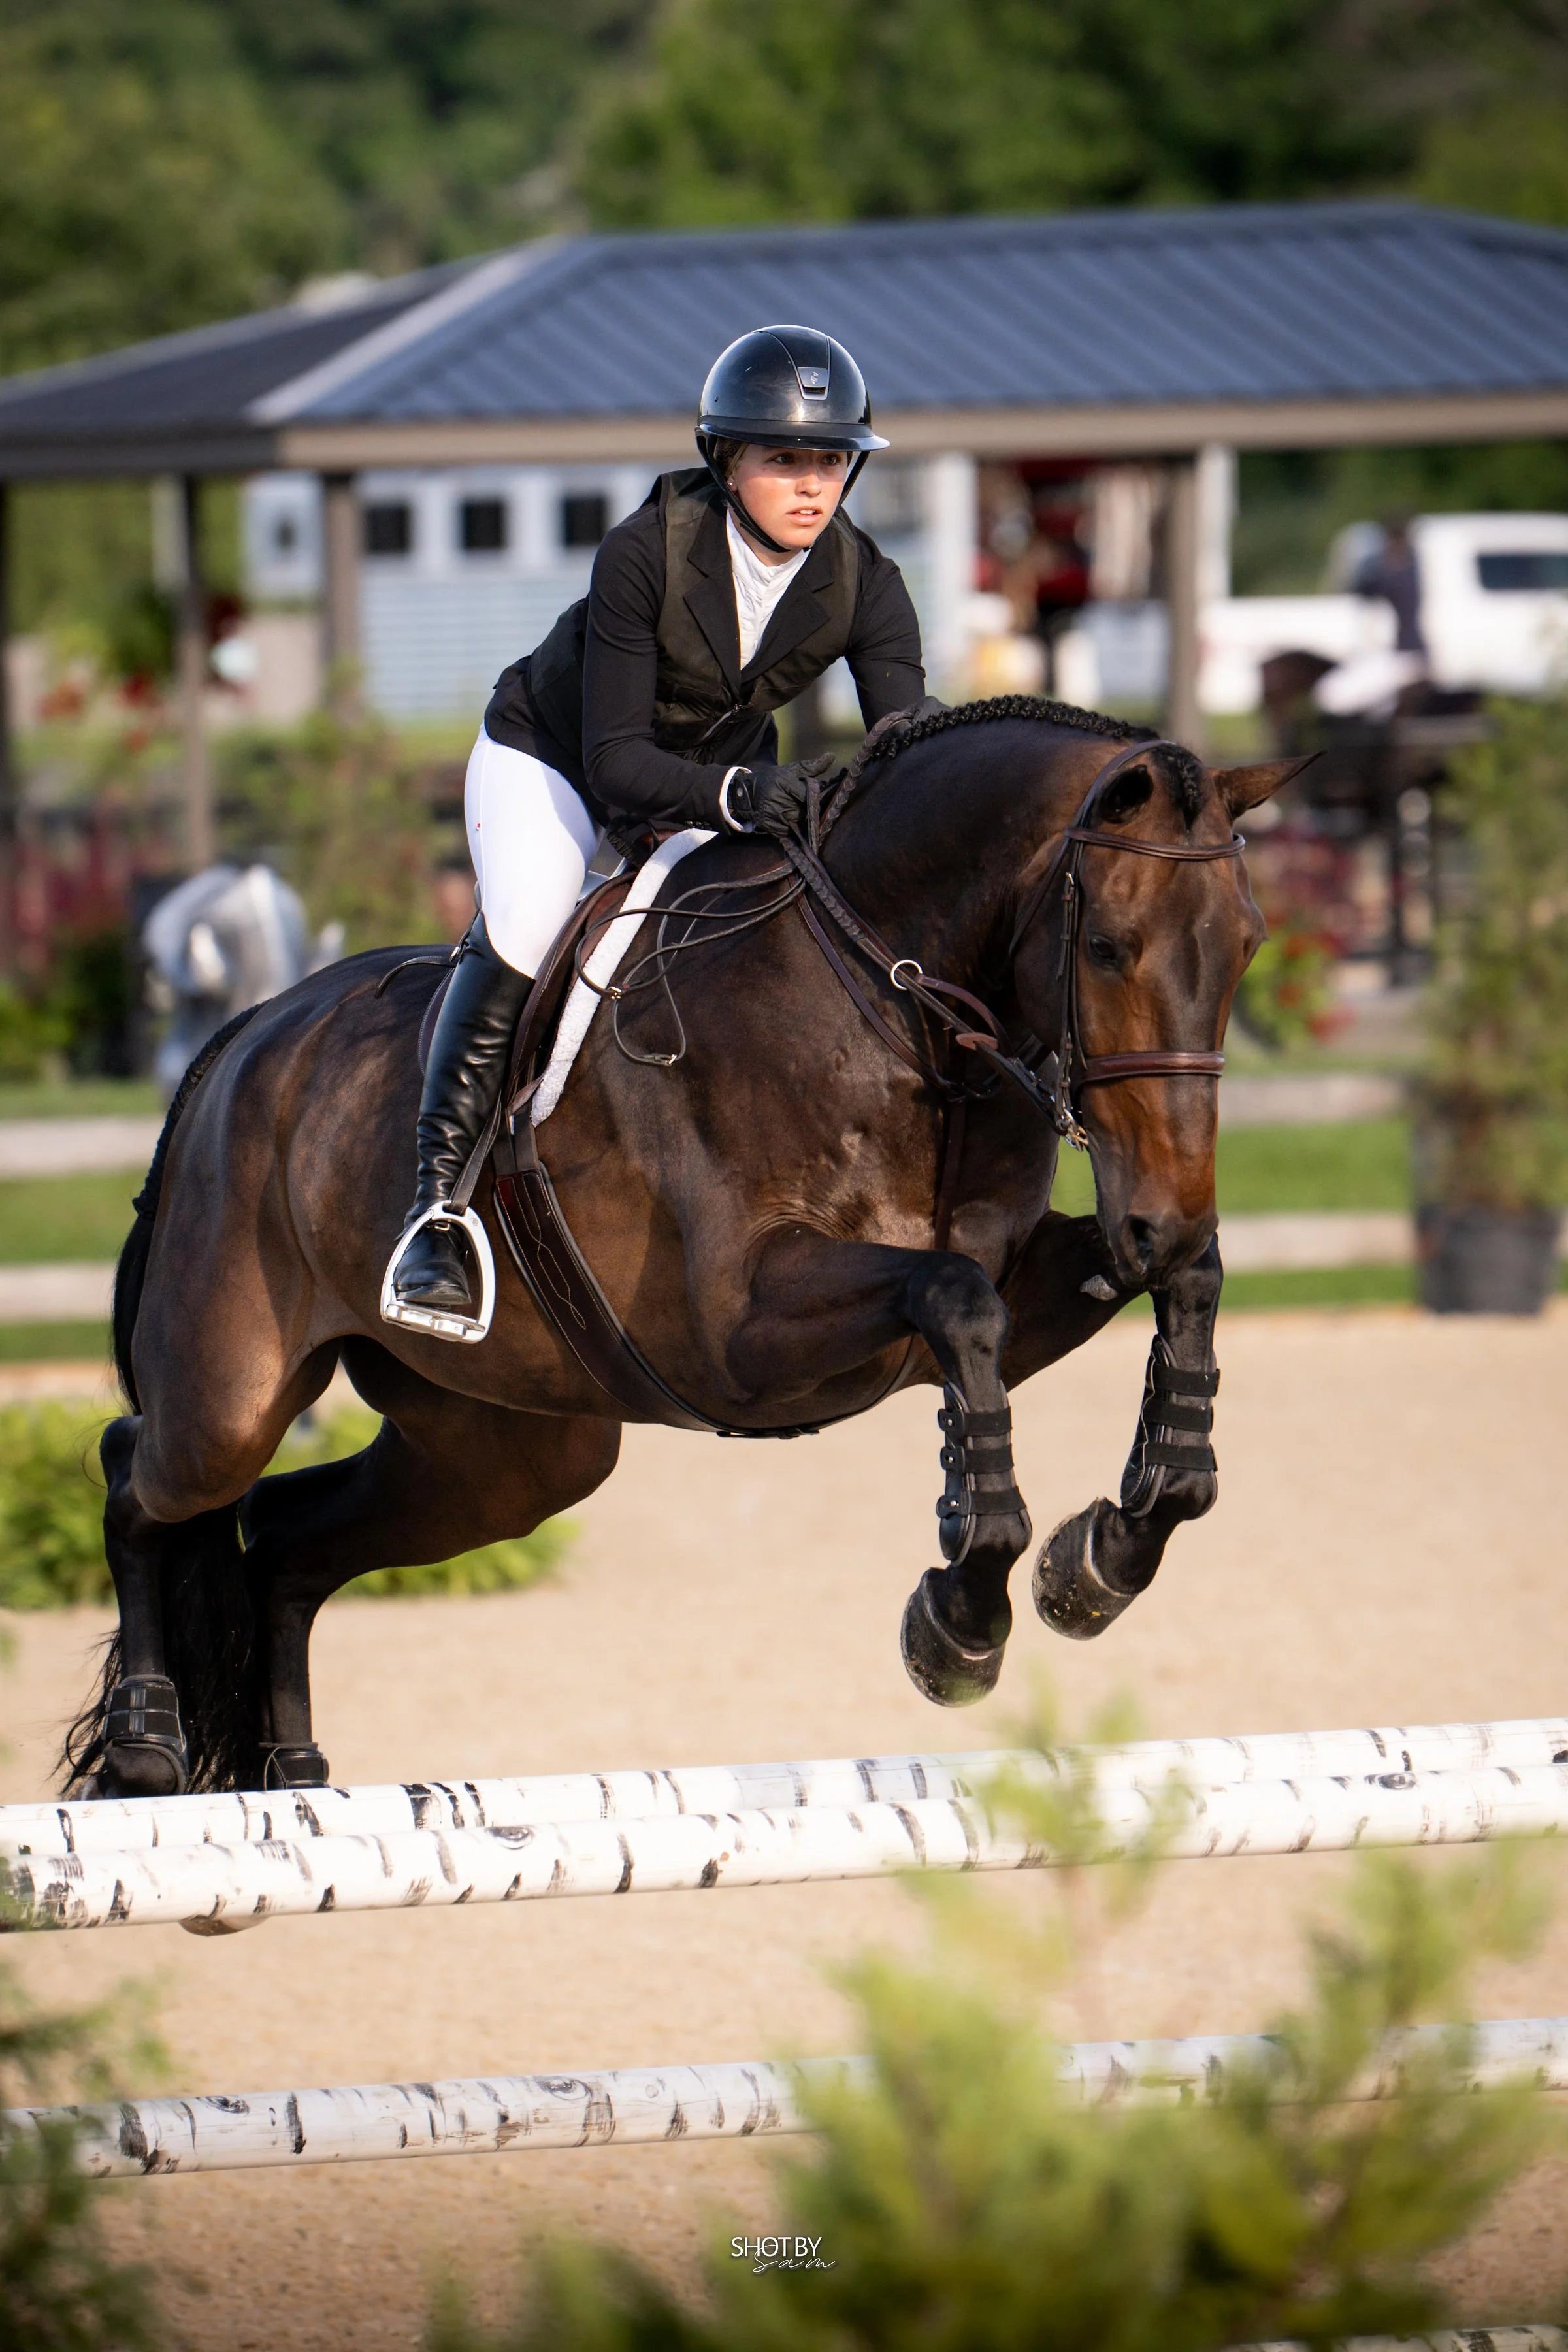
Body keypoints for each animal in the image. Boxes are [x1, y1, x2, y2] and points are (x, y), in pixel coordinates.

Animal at [67, 699, 1292, 1798]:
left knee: (282, 1540)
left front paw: (1110, 1553)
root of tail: (245, 1038)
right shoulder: (742, 1330)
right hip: (234, 1395)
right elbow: (955, 1304)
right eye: (1109, 948)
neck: (896, 1004)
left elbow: (1174, 1286)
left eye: (1248, 948)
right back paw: (145, 1744)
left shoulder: (1026, 1273)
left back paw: (291, 1774)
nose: (1161, 1214)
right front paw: (963, 1620)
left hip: (508, 1455)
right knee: (141, 1474)